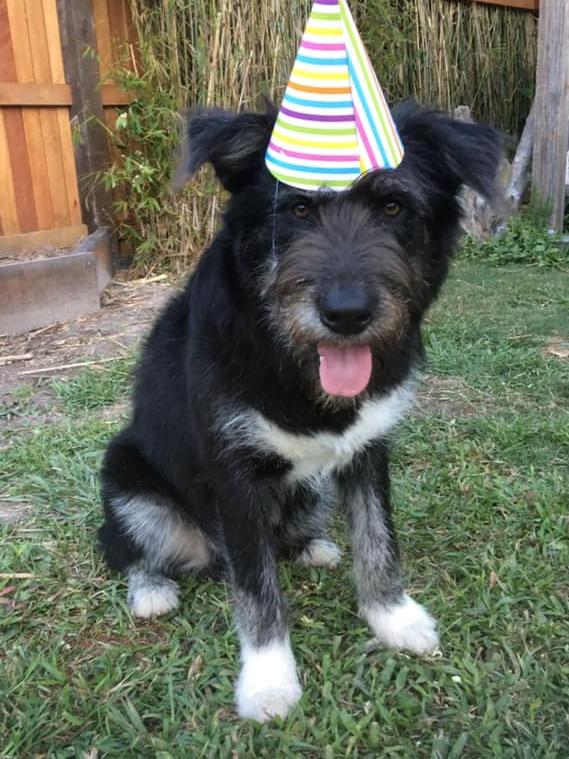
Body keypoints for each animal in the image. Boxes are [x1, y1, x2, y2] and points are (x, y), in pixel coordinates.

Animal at [100, 102, 500, 724]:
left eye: (393, 206)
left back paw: (311, 547)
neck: (293, 363)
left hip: (308, 489)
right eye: (299, 208)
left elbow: (378, 539)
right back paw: (151, 591)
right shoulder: (234, 477)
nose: (347, 314)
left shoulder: (368, 447)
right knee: (125, 546)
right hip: (125, 473)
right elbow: (257, 589)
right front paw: (269, 679)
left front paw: (394, 618)